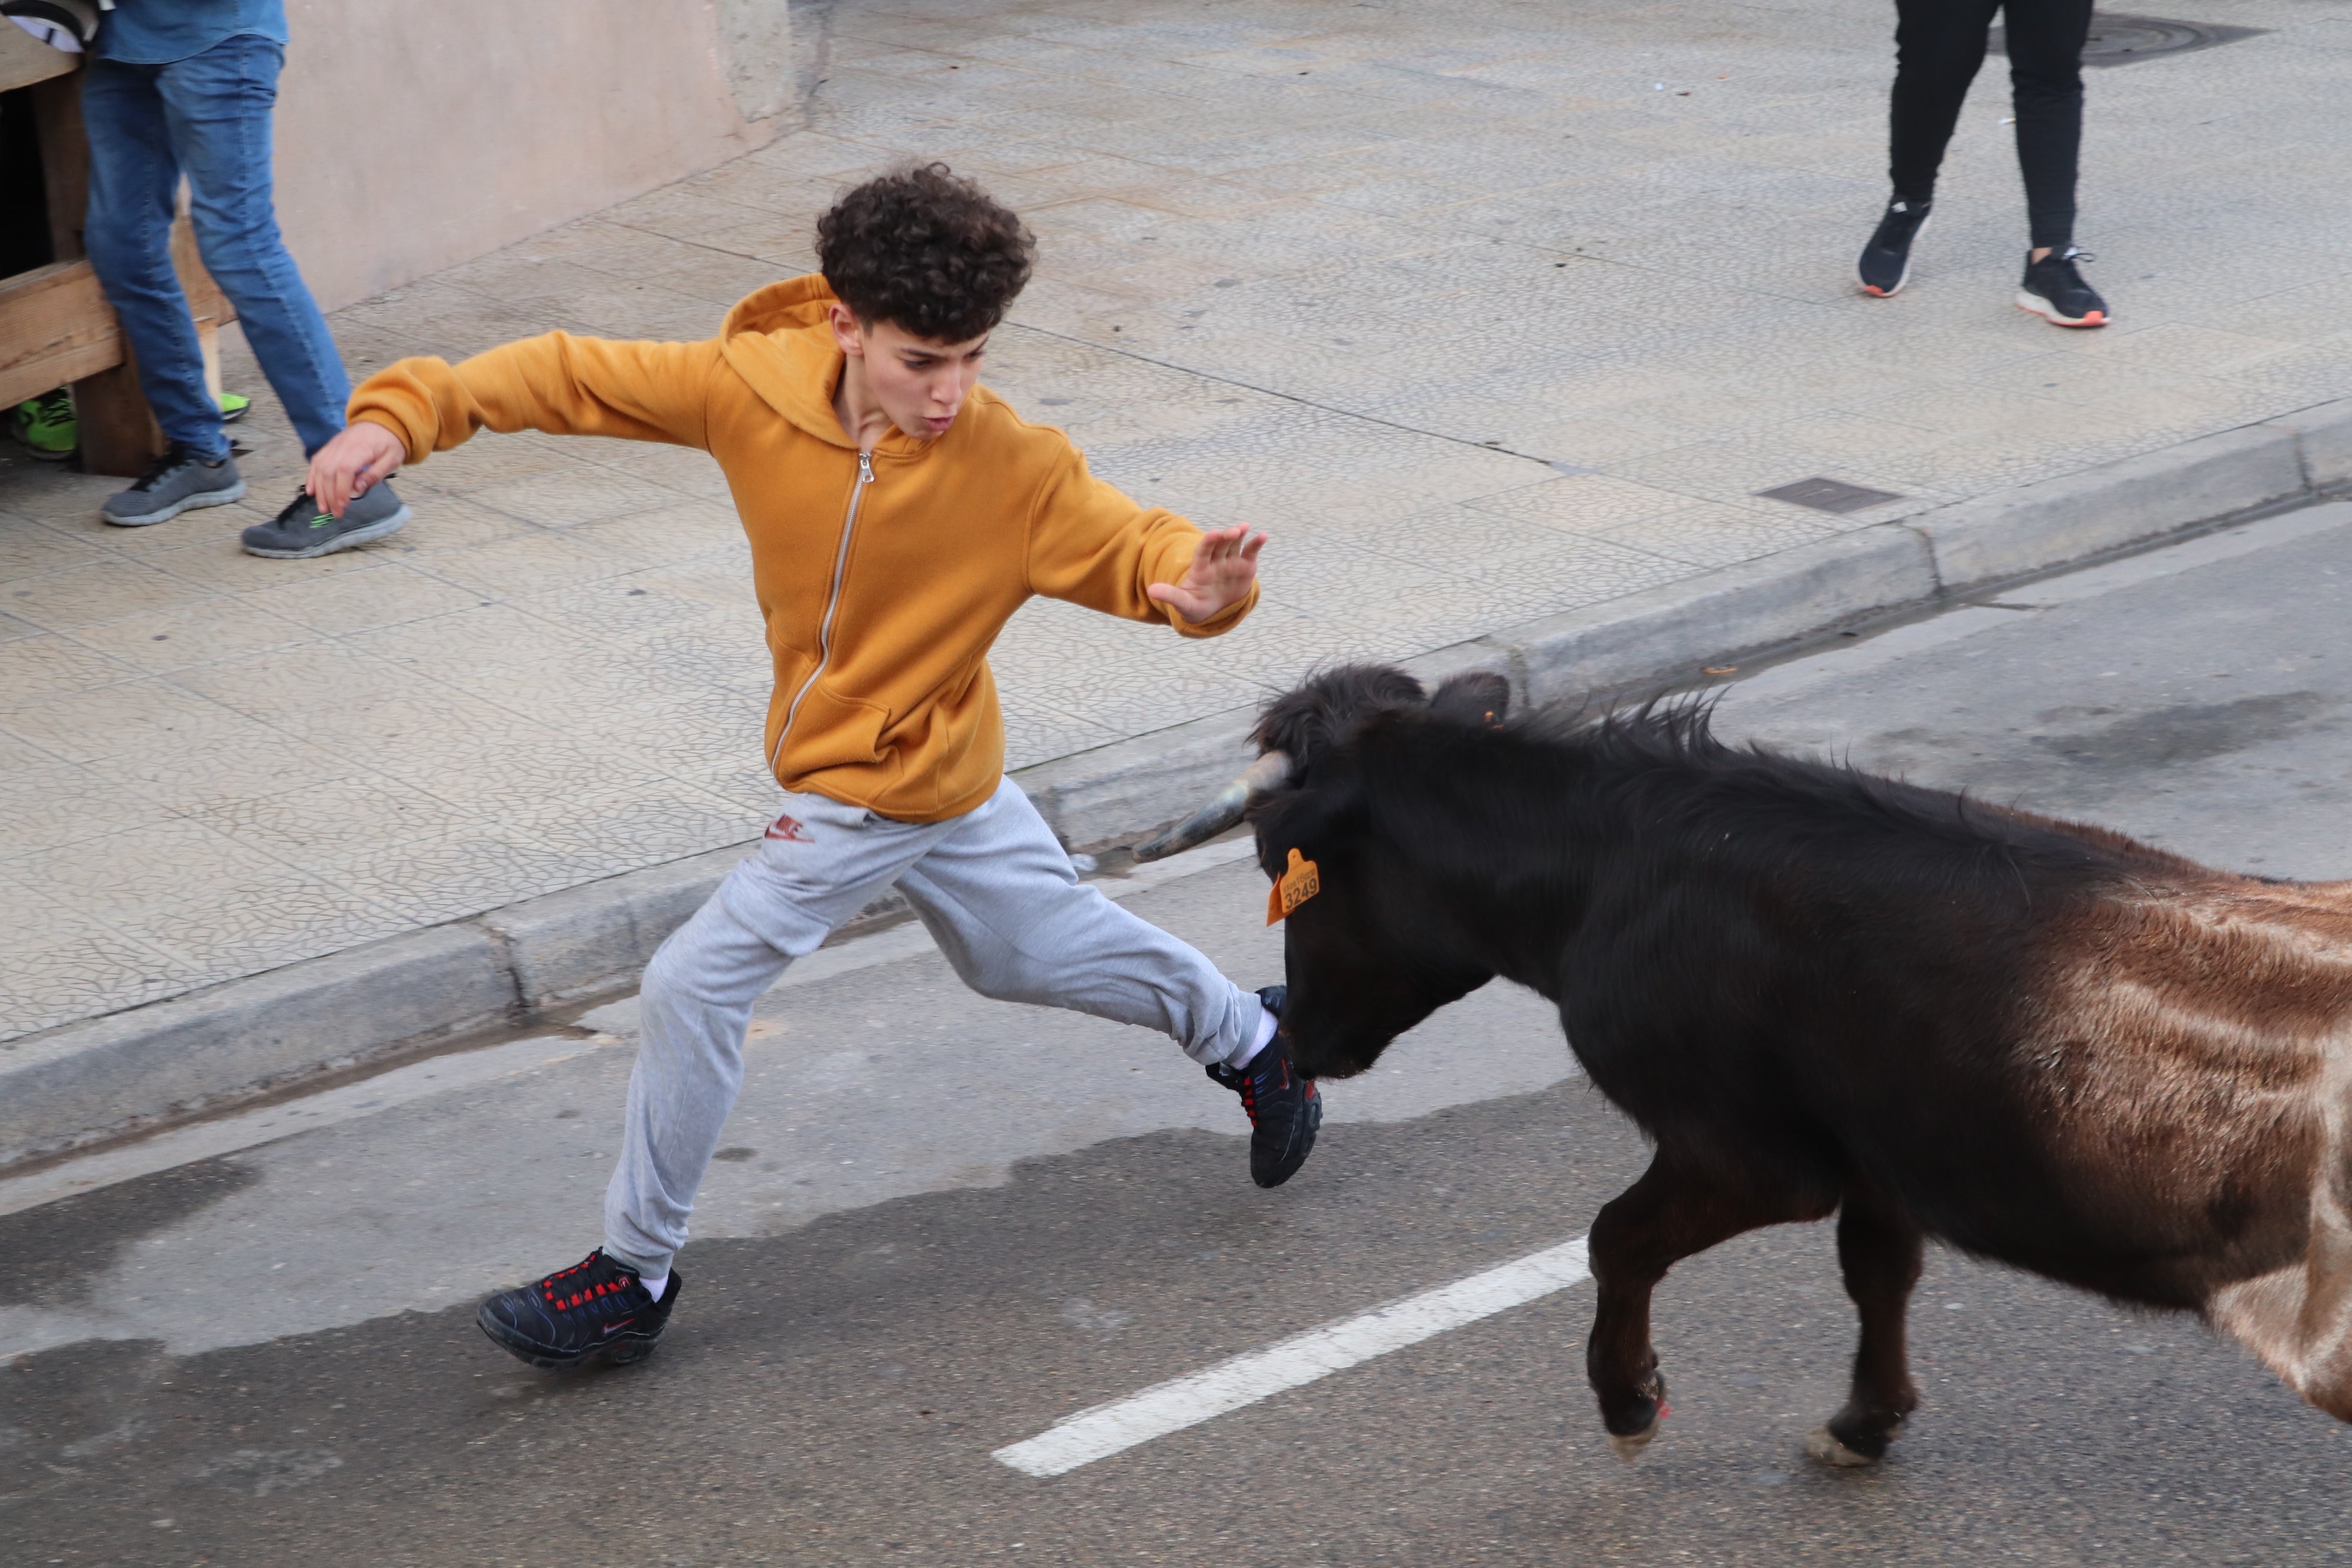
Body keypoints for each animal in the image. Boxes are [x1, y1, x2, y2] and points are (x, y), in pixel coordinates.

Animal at [1143, 662, 2352, 1476]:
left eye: (1280, 864)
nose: (1296, 1033)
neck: (1613, 872)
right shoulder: (1870, 1143)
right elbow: (1877, 1271)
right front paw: (1864, 1422)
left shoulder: (1749, 1153)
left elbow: (1614, 1238)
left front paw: (1628, 1401)